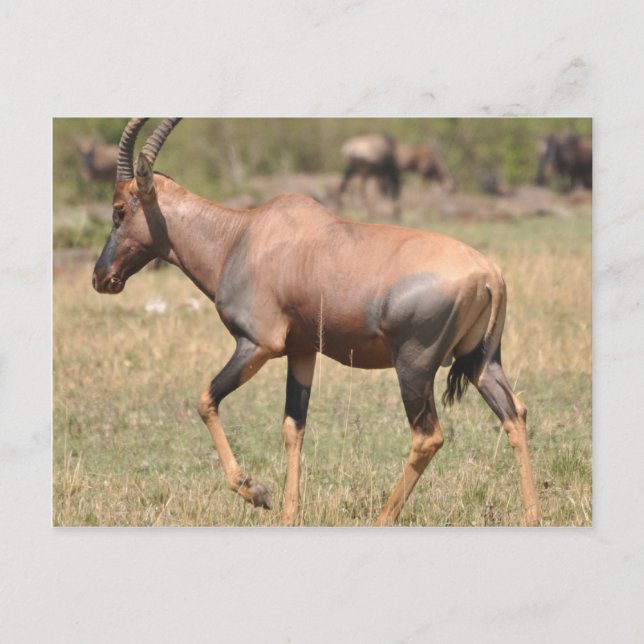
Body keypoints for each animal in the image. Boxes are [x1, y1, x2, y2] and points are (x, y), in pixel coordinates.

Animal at [93, 118, 542, 527]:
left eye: (119, 209)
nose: (101, 277)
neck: (242, 235)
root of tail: (489, 273)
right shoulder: (302, 352)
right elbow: (294, 426)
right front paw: (289, 513)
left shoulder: (257, 345)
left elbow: (205, 400)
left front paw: (256, 492)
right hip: (482, 361)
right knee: (514, 413)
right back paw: (531, 515)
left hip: (414, 366)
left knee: (428, 436)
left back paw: (382, 517)